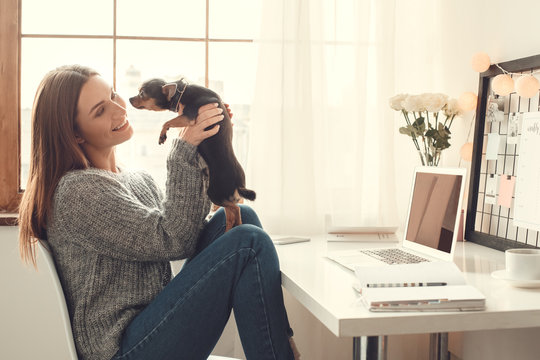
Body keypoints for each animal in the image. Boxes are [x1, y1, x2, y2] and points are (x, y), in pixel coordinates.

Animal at [131, 78, 258, 231]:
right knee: (232, 214)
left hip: (215, 193)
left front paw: (162, 134)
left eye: (142, 93)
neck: (181, 92)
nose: (129, 99)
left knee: (235, 208)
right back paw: (231, 228)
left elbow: (167, 122)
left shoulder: (188, 117)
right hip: (222, 195)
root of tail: (239, 185)